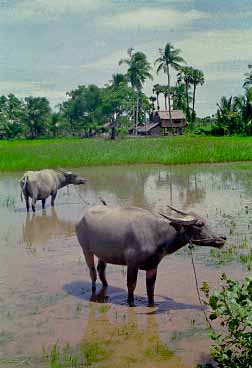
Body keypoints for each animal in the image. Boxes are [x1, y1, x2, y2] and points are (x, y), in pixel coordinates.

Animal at [75, 204, 226, 308]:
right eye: (200, 224)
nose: (222, 239)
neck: (156, 234)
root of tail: (81, 219)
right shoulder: (132, 264)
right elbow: (131, 285)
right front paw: (131, 303)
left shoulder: (153, 266)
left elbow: (150, 288)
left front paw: (151, 304)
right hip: (86, 250)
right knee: (92, 273)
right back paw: (93, 291)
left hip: (102, 254)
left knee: (101, 270)